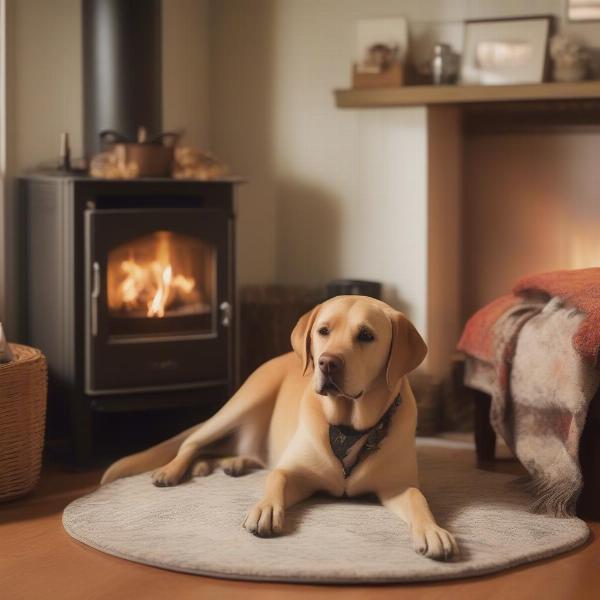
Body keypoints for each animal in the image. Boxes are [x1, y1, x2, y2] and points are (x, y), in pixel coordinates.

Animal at [104, 298, 460, 560]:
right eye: (323, 330)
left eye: (366, 336)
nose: (327, 363)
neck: (347, 426)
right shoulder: (297, 473)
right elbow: (277, 477)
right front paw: (264, 509)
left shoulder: (397, 487)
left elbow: (418, 498)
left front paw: (433, 531)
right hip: (243, 402)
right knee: (192, 443)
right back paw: (173, 470)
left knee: (238, 453)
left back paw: (225, 464)